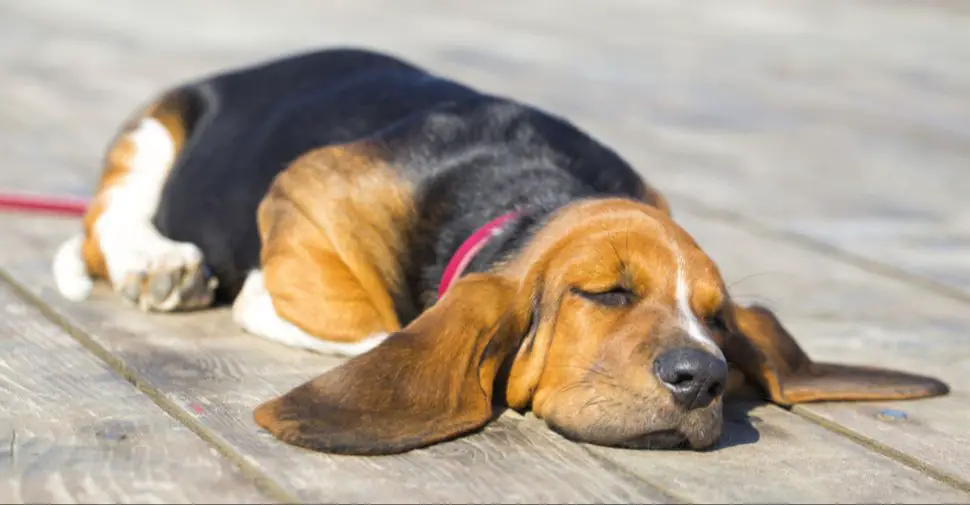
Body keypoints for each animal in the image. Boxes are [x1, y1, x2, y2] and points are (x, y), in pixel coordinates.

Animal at [51, 49, 944, 454]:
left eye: (718, 319)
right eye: (606, 292)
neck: (526, 193)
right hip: (155, 130)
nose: (704, 378)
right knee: (107, 218)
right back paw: (159, 263)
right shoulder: (302, 196)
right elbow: (371, 321)